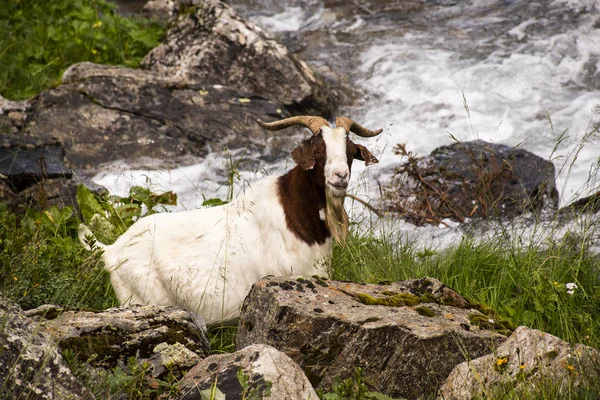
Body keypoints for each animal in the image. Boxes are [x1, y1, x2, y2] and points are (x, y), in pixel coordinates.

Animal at [79, 116, 382, 324]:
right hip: (142, 298)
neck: (297, 216)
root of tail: (111, 250)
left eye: (350, 152)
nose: (340, 176)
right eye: (318, 152)